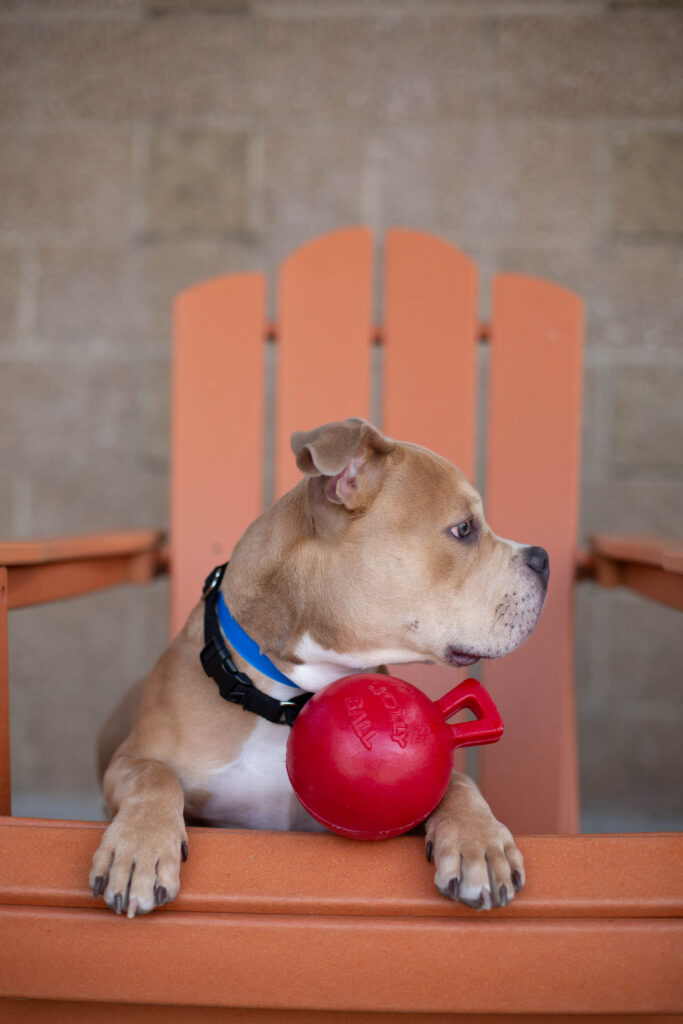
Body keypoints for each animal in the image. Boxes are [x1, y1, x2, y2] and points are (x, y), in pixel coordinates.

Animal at [90, 419, 548, 917]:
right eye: (464, 529)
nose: (542, 558)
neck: (284, 698)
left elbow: (457, 781)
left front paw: (478, 841)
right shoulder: (127, 760)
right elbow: (153, 774)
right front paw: (140, 847)